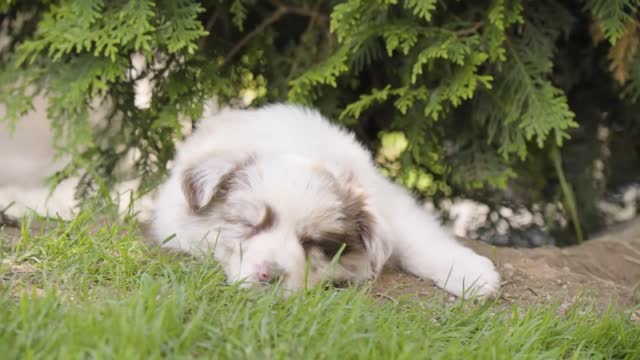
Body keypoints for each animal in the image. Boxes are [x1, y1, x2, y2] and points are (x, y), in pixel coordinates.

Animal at [151, 104, 500, 298]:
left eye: (312, 242)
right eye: (248, 225)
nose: (269, 276)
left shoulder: (384, 198)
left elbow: (417, 238)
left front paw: (472, 275)